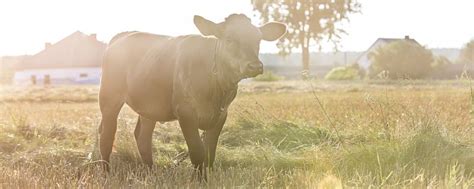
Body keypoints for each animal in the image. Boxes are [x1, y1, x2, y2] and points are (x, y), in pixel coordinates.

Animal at [98, 13, 286, 177]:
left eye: (258, 39)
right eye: (229, 39)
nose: (255, 66)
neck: (216, 88)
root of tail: (123, 35)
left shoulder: (221, 115)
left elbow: (210, 153)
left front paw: (206, 178)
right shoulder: (186, 112)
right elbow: (197, 151)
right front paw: (198, 179)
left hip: (150, 106)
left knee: (142, 137)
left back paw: (151, 173)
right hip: (109, 98)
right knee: (107, 135)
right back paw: (106, 173)